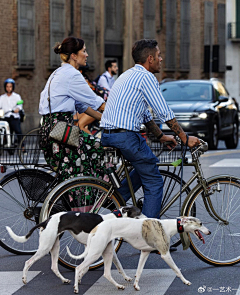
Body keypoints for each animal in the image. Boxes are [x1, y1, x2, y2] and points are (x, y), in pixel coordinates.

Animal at [5, 206, 144, 286]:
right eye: (140, 212)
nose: (147, 218)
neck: (116, 218)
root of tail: (46, 220)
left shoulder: (102, 249)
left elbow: (117, 265)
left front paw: (126, 278)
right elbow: (88, 267)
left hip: (54, 247)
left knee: (54, 266)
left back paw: (64, 280)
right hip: (45, 247)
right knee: (28, 262)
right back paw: (24, 279)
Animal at [67, 216, 210, 294]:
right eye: (201, 223)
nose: (209, 232)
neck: (168, 226)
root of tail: (96, 228)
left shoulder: (145, 252)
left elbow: (139, 271)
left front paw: (136, 285)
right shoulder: (165, 254)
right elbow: (177, 270)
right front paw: (186, 281)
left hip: (107, 252)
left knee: (107, 273)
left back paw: (119, 286)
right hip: (96, 253)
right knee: (78, 267)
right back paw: (75, 288)